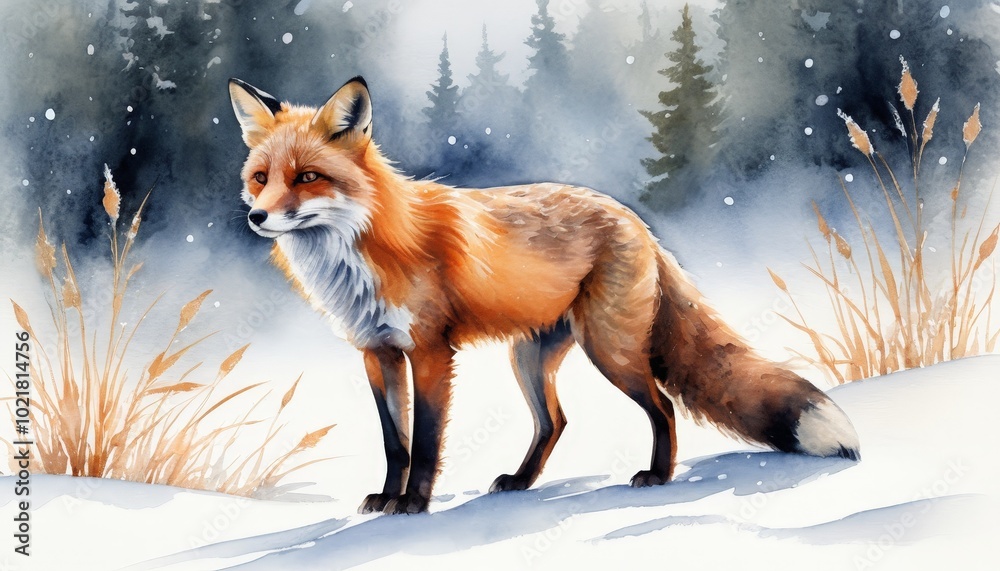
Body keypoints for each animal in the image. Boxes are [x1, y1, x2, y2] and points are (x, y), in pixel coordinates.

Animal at [228, 76, 860, 515]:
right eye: (262, 178)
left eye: (307, 177)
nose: (258, 217)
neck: (362, 251)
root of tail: (638, 222)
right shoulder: (377, 352)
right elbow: (395, 443)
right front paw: (387, 499)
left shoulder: (431, 352)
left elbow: (426, 442)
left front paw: (414, 505)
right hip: (529, 355)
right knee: (555, 421)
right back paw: (520, 482)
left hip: (609, 349)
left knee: (662, 406)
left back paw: (657, 477)